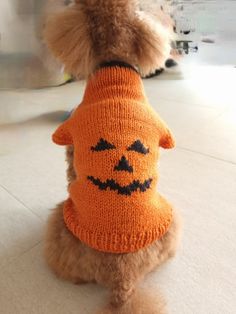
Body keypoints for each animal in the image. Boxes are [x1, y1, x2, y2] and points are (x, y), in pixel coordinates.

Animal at [43, 1, 181, 312]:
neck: (114, 64)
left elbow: (70, 171)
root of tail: (123, 278)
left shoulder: (71, 145)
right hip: (169, 225)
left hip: (60, 223)